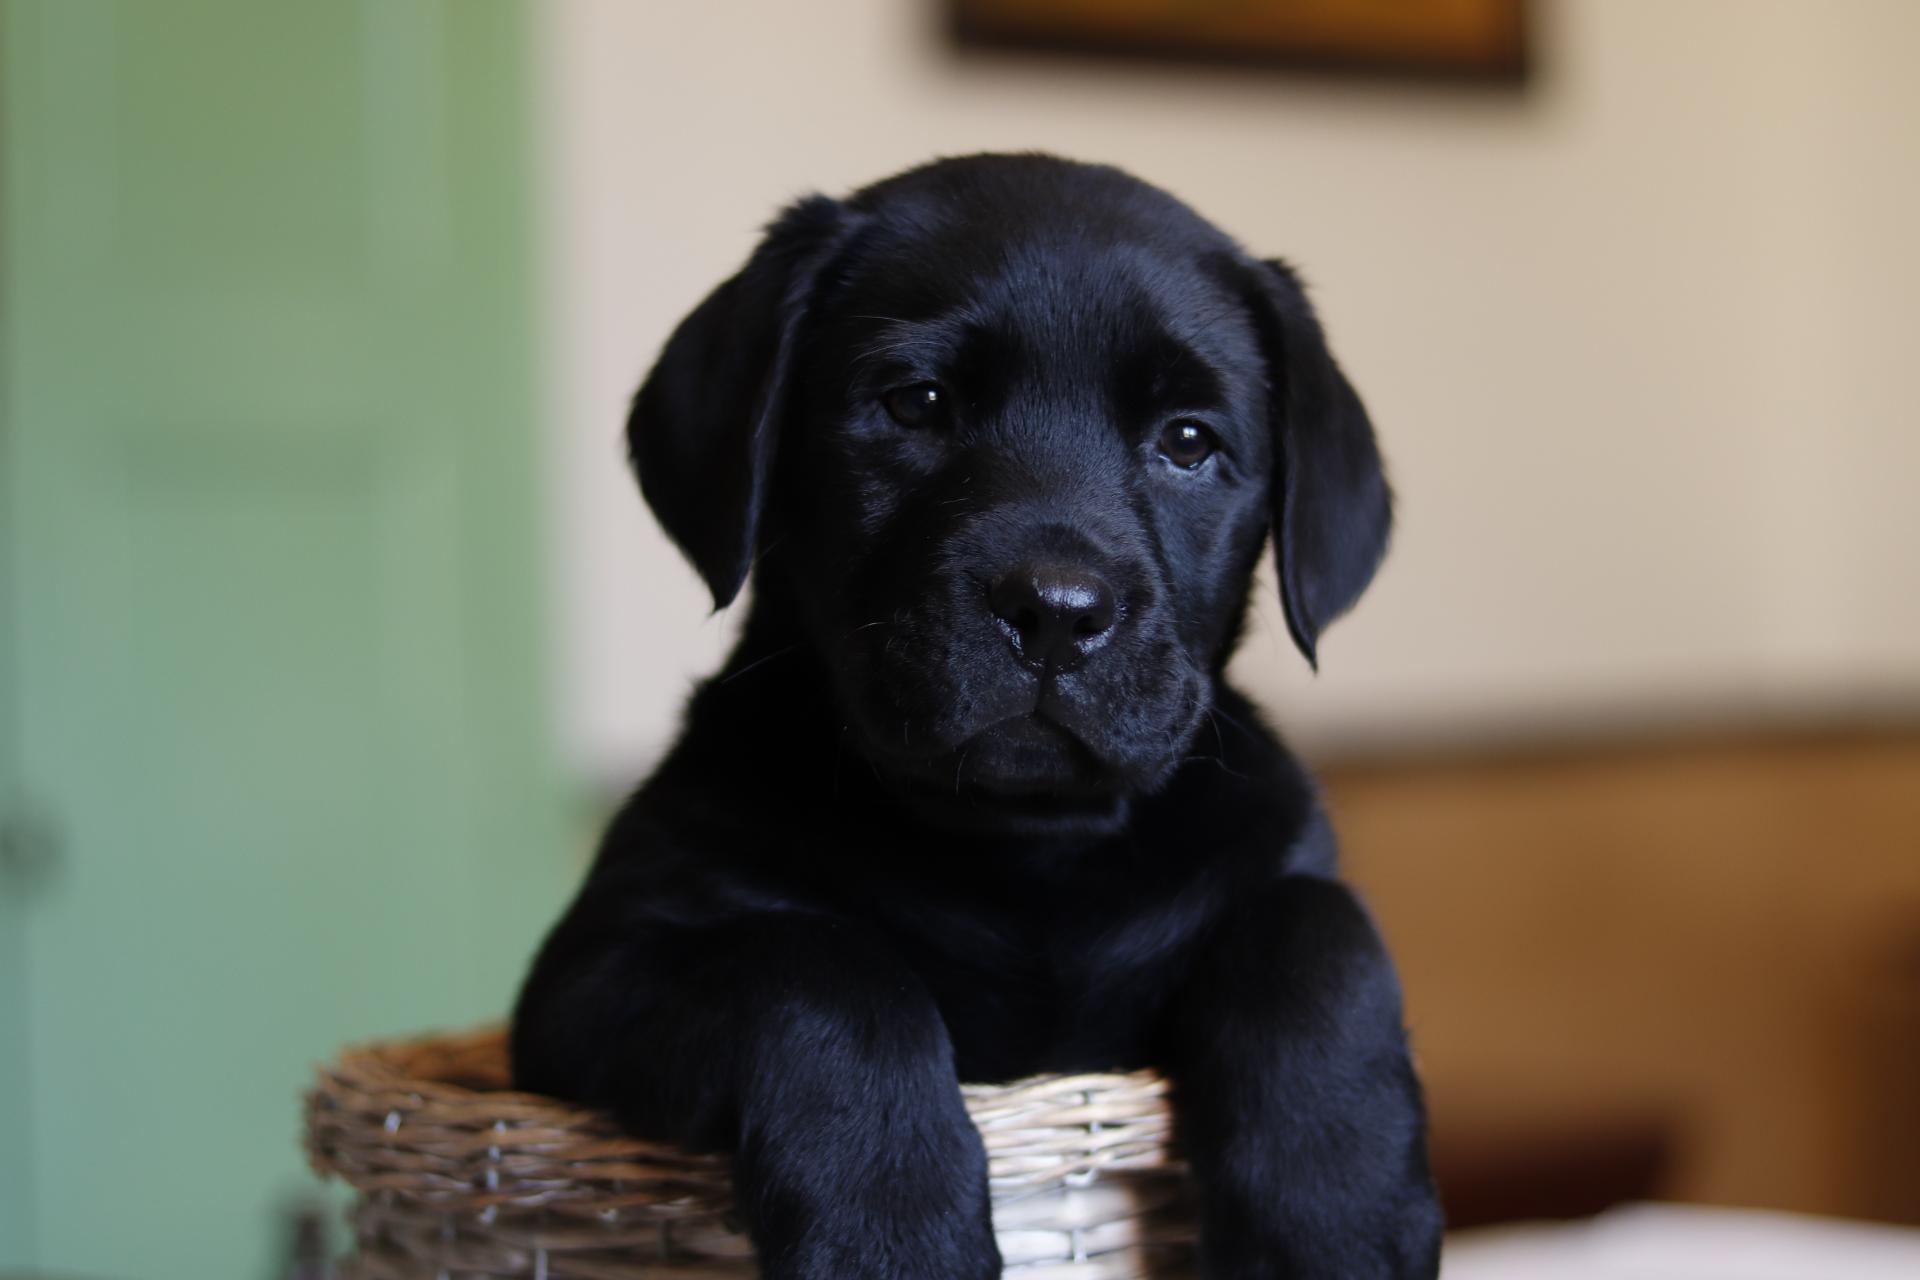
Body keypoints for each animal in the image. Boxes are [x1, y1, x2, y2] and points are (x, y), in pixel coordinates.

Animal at [514, 155, 1443, 1274]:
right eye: (915, 403)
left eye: (1187, 441)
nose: (1057, 611)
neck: (1021, 851)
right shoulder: (596, 968)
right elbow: (817, 966)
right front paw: (891, 1231)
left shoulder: (1283, 866)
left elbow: (1319, 943)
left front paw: (1334, 1220)